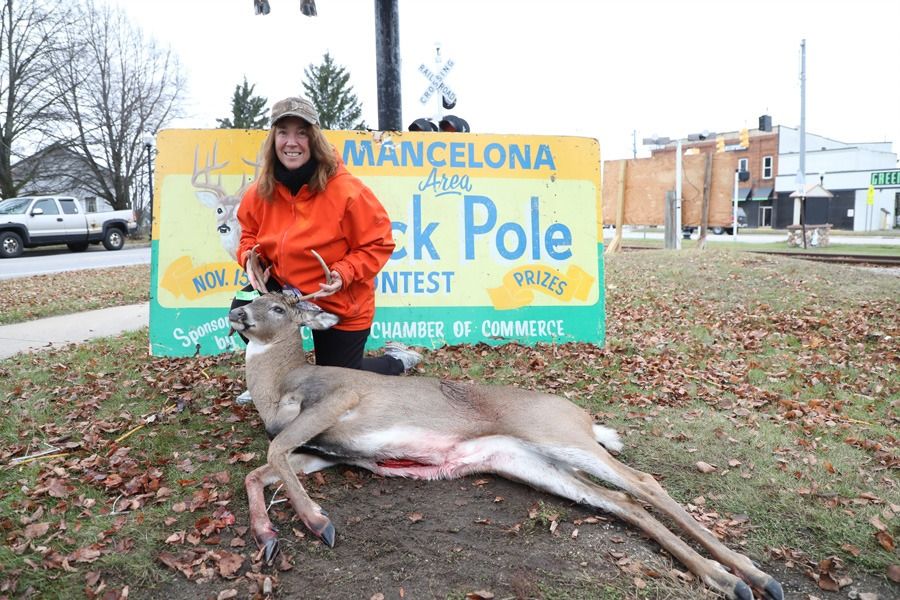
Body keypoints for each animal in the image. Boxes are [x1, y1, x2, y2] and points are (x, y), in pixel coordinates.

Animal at [226, 254, 783, 600]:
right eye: (250, 299)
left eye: (278, 306)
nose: (236, 315)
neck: (278, 387)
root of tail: (583, 414)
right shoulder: (324, 448)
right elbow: (258, 469)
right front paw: (267, 536)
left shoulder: (340, 398)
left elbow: (273, 454)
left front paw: (318, 522)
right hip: (527, 460)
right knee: (622, 502)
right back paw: (733, 580)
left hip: (559, 434)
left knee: (644, 482)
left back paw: (753, 576)